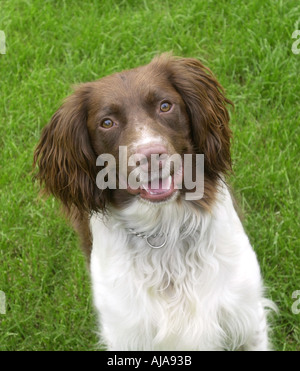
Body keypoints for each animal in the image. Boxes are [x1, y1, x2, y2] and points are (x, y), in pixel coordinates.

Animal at [32, 53, 272, 350]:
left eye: (165, 106)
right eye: (107, 122)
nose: (150, 156)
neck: (164, 230)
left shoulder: (247, 317)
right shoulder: (125, 332)